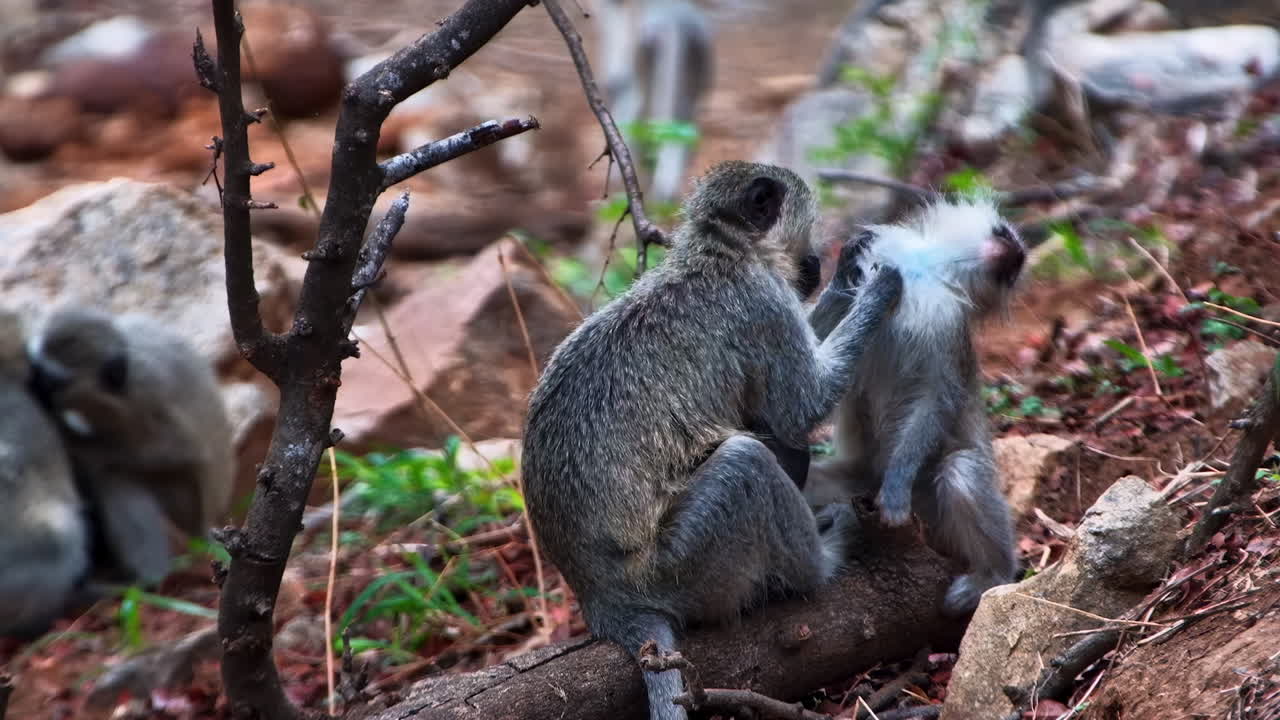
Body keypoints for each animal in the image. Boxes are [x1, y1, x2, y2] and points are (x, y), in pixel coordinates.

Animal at [27, 306, 235, 586]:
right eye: (37, 367)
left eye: (52, 381)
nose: (35, 386)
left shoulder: (146, 391)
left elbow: (183, 448)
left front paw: (76, 444)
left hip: (184, 503)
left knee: (116, 478)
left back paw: (148, 580)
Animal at [521, 161, 903, 720]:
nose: (815, 265)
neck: (720, 253)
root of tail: (602, 599)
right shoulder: (762, 303)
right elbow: (800, 409)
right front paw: (879, 289)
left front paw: (850, 276)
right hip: (682, 571)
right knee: (749, 460)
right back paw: (821, 564)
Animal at [804, 195, 1024, 616]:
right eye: (1003, 234)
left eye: (1013, 268)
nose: (1017, 255)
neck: (927, 271)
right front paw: (844, 269)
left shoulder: (947, 322)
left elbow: (933, 398)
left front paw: (894, 492)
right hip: (858, 480)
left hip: (935, 520)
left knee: (960, 471)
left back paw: (992, 576)